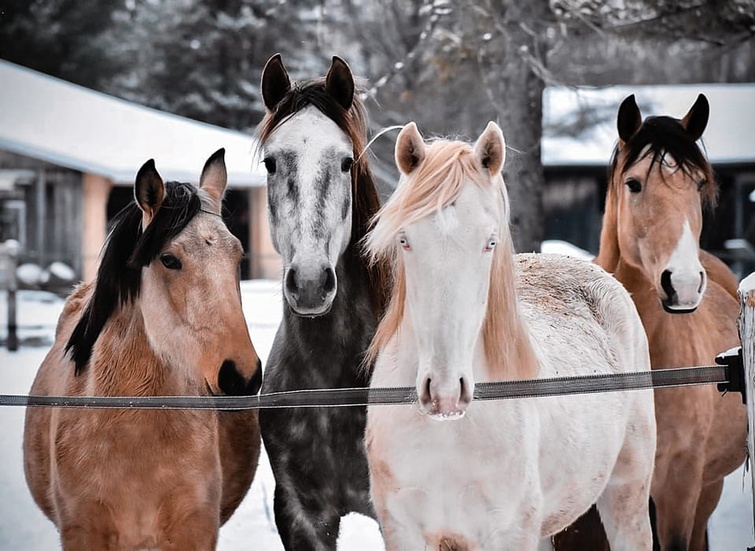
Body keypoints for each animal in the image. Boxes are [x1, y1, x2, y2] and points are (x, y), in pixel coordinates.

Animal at [364, 122, 656, 551]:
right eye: (405, 240)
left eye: (489, 242)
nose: (445, 392)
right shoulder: (403, 532)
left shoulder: (510, 531)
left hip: (627, 492)